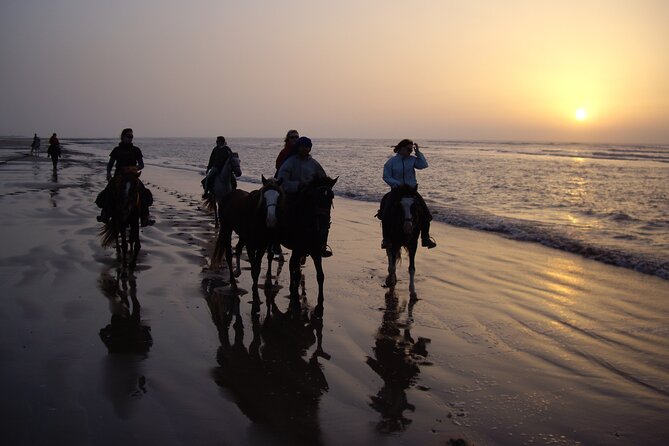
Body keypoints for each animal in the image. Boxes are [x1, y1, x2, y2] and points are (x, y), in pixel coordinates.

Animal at [280, 176, 336, 304]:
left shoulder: (316, 251)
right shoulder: (298, 249)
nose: (324, 223)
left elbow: (320, 276)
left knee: (292, 264)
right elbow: (297, 273)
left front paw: (321, 300)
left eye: (331, 197)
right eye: (316, 197)